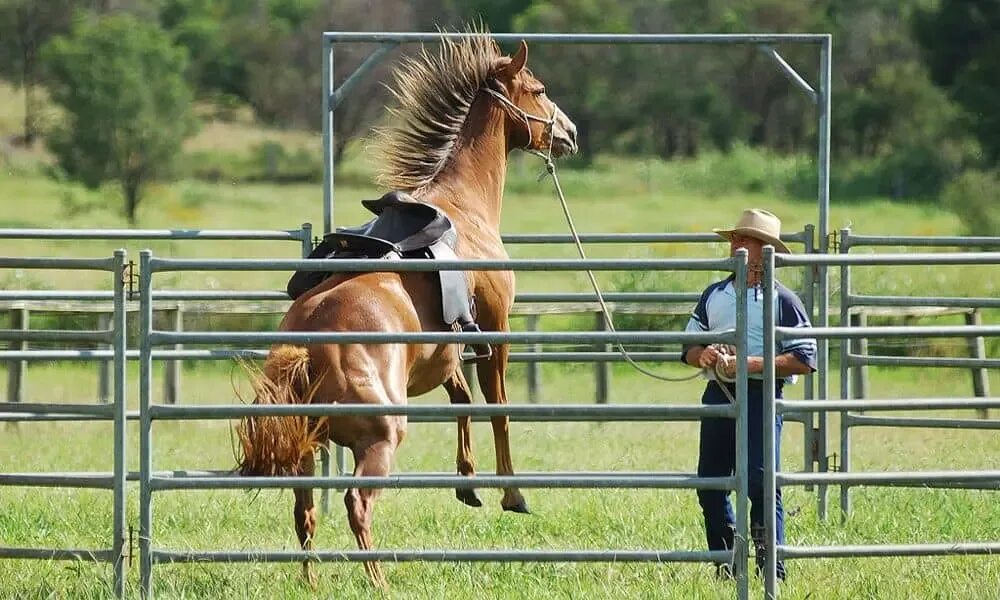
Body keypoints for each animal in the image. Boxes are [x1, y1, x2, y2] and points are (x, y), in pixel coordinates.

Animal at [236, 34, 580, 584]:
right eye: (540, 89)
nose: (570, 132)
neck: (464, 205)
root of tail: (306, 348)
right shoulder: (495, 329)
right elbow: (497, 407)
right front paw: (512, 494)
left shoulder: (447, 348)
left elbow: (462, 399)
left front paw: (467, 483)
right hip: (380, 437)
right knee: (356, 504)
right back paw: (377, 581)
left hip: (308, 447)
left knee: (304, 511)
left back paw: (312, 581)